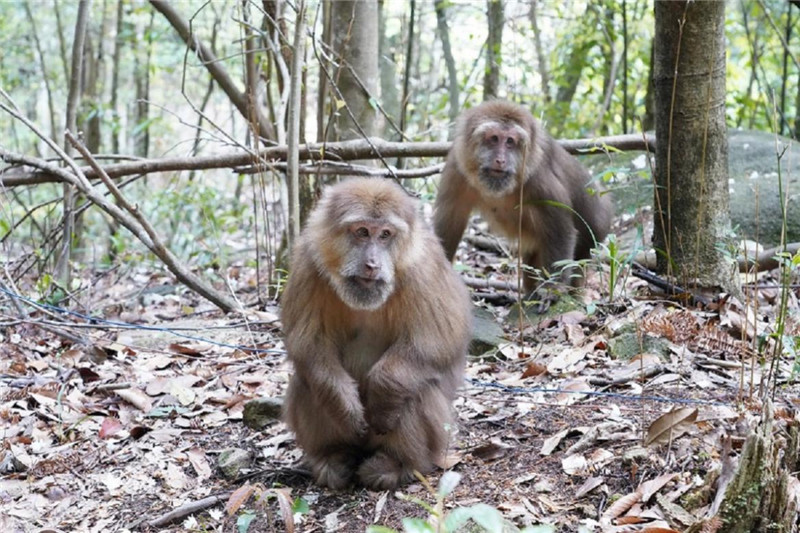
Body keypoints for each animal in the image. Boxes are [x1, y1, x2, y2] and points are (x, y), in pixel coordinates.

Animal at [282, 179, 472, 490]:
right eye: (362, 232)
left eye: (385, 235)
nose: (372, 264)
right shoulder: (308, 262)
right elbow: (308, 345)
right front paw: (344, 406)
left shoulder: (423, 267)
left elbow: (439, 339)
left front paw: (382, 391)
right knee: (307, 381)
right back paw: (333, 456)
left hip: (431, 440)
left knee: (416, 388)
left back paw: (397, 464)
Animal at [432, 98, 612, 304]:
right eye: (494, 138)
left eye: (510, 141)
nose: (500, 160)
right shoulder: (457, 167)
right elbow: (449, 223)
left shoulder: (539, 179)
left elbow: (561, 231)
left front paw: (552, 289)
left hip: (597, 230)